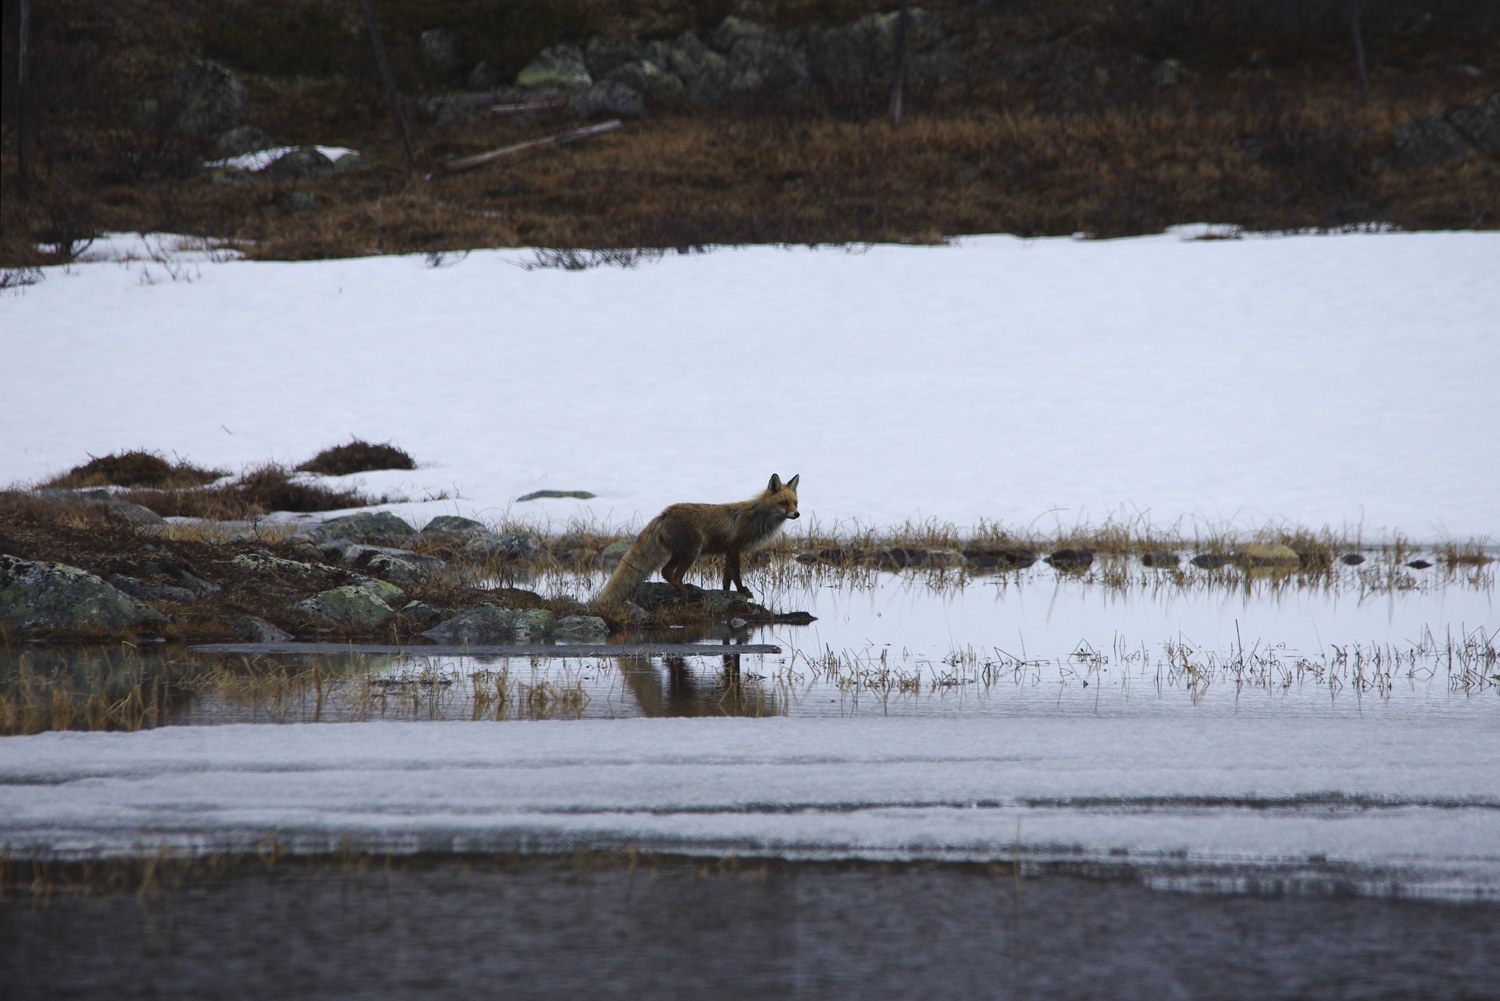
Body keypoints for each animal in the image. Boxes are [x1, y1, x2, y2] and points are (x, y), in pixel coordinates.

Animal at [592, 473, 800, 609]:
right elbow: (736, 573)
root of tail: (663, 515)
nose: (797, 514)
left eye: (795, 503)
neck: (759, 517)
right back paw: (690, 596)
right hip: (692, 551)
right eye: (784, 503)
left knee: (666, 572)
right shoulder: (734, 546)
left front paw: (728, 595)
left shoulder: (727, 549)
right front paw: (742, 591)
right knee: (674, 575)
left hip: (681, 553)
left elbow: (726, 578)